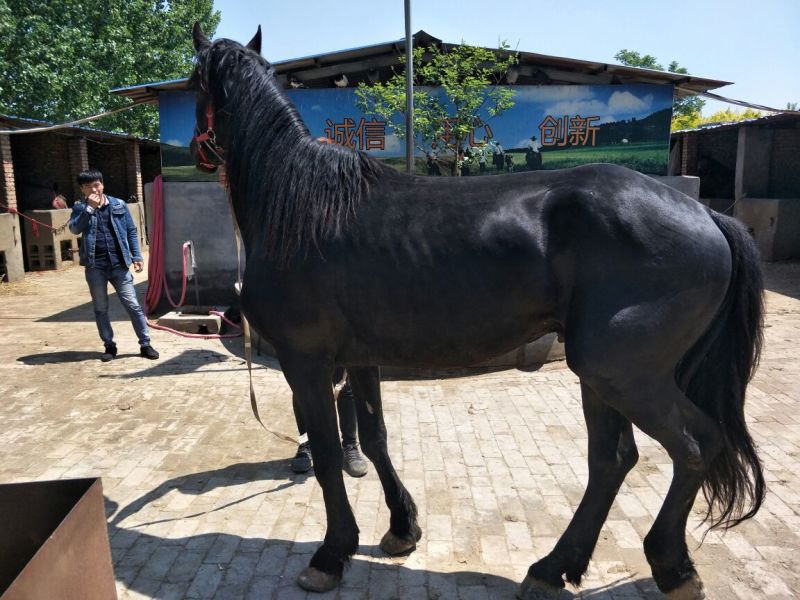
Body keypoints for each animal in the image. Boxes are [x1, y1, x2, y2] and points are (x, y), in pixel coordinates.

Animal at [189, 23, 765, 599]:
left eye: (194, 83)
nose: (198, 155)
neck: (301, 207)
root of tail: (708, 216)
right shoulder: (360, 358)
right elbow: (374, 440)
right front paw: (402, 528)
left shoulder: (305, 362)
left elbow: (331, 457)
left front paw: (331, 555)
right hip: (603, 376)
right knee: (613, 460)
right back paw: (554, 569)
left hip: (620, 372)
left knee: (694, 445)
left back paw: (671, 566)